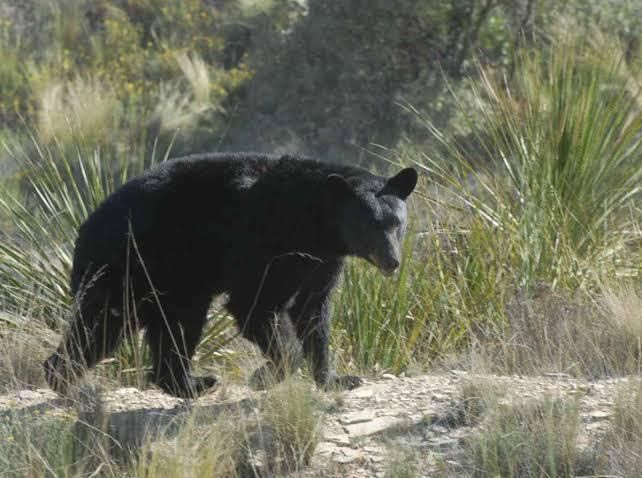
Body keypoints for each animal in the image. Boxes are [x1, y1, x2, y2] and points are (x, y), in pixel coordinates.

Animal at [44, 153, 418, 398]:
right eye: (368, 227)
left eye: (396, 223)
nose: (391, 261)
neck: (314, 221)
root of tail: (84, 229)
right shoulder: (263, 242)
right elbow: (256, 303)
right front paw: (266, 375)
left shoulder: (323, 261)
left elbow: (313, 312)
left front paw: (336, 379)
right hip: (128, 266)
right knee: (102, 325)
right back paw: (65, 381)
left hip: (168, 282)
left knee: (172, 327)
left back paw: (189, 384)